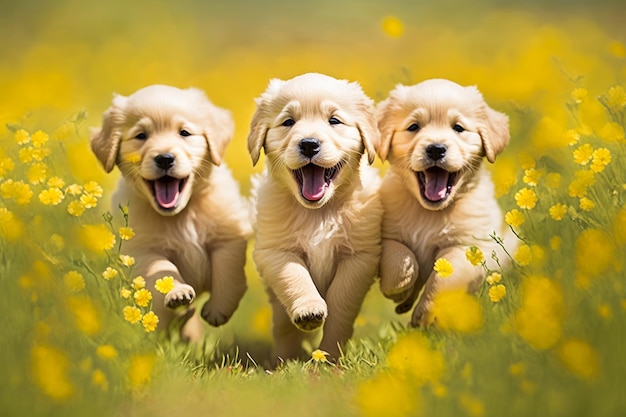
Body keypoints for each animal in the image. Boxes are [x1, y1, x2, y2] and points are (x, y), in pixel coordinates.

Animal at [91, 84, 251, 342]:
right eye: (141, 136)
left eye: (184, 133)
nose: (164, 158)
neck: (181, 215)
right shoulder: (145, 250)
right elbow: (162, 271)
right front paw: (177, 293)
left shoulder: (227, 235)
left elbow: (227, 271)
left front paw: (219, 309)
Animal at [246, 73, 382, 360]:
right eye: (288, 122)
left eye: (334, 121)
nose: (309, 144)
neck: (318, 212)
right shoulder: (276, 251)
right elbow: (295, 277)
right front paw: (309, 309)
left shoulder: (360, 256)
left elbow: (342, 300)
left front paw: (330, 355)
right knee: (283, 327)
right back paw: (283, 361)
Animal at [376, 77, 512, 324]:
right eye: (414, 127)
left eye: (458, 128)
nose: (436, 149)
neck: (429, 212)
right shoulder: (385, 233)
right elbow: (400, 257)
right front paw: (401, 286)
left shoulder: (467, 245)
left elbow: (445, 277)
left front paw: (427, 314)